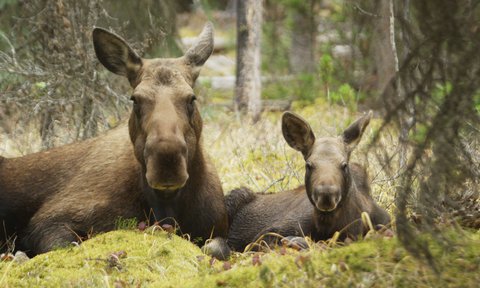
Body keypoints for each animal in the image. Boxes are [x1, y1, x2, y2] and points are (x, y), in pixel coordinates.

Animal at [0, 21, 229, 258]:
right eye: (135, 100)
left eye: (191, 98)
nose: (167, 163)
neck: (167, 205)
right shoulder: (47, 221)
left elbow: (217, 248)